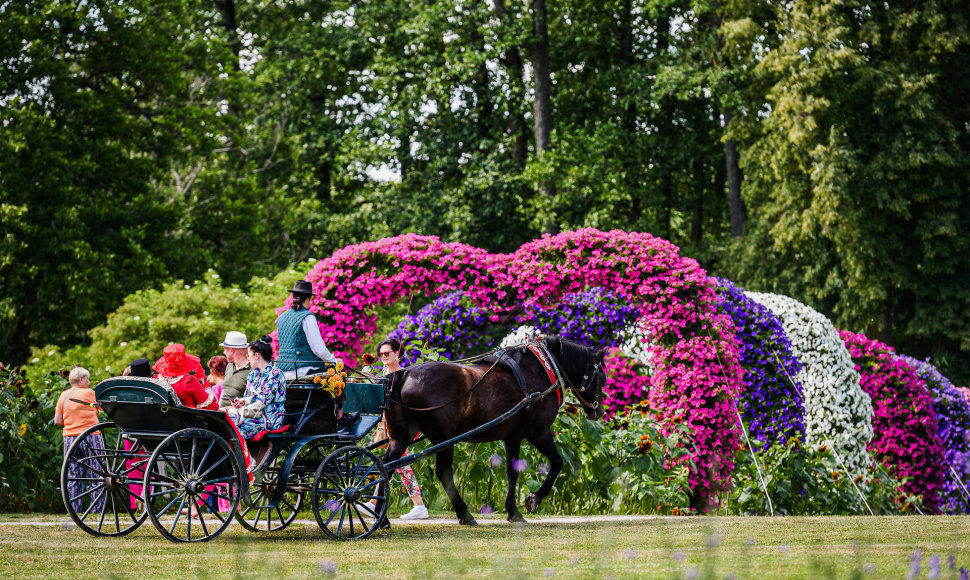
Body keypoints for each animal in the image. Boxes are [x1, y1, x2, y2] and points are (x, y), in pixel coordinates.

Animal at [380, 334, 600, 524]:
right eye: (600, 375)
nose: (598, 411)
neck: (542, 366)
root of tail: (404, 374)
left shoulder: (513, 438)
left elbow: (512, 472)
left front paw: (513, 511)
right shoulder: (539, 432)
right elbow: (557, 462)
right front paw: (535, 498)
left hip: (401, 437)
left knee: (386, 465)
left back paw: (382, 519)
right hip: (443, 438)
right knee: (443, 471)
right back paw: (465, 515)